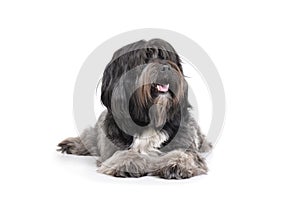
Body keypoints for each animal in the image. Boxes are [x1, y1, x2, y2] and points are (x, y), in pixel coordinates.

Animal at [57, 38, 212, 179]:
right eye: (144, 59)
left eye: (166, 57)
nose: (166, 67)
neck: (149, 118)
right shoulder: (112, 143)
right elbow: (122, 153)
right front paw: (127, 162)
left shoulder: (185, 140)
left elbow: (186, 154)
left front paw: (176, 164)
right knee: (89, 136)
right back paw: (71, 144)